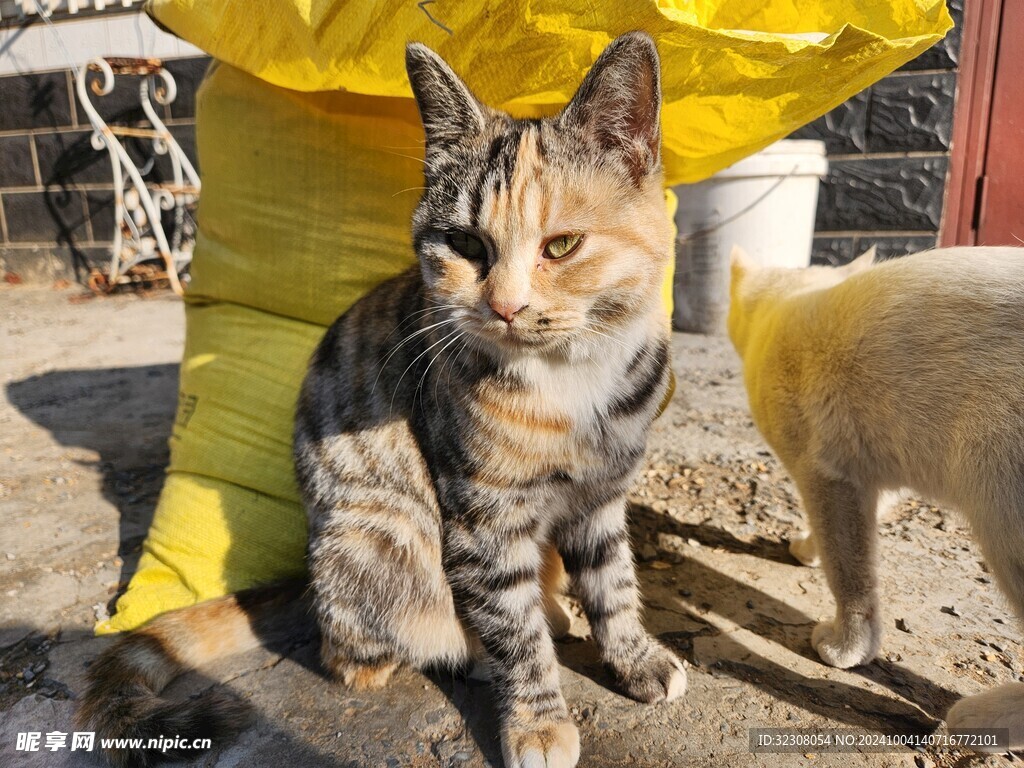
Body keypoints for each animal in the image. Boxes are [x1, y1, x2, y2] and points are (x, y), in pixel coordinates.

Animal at [79, 31, 684, 768]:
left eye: (562, 245)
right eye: (465, 243)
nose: (505, 307)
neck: (573, 382)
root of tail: (309, 572)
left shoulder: (601, 494)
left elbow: (613, 580)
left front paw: (635, 656)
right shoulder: (480, 515)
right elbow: (513, 628)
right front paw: (537, 720)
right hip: (386, 535)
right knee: (359, 652)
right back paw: (470, 650)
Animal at [729, 244, 1024, 753]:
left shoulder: (827, 476)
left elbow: (850, 575)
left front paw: (848, 649)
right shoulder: (874, 480)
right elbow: (842, 545)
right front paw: (807, 548)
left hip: (998, 503)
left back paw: (976, 720)